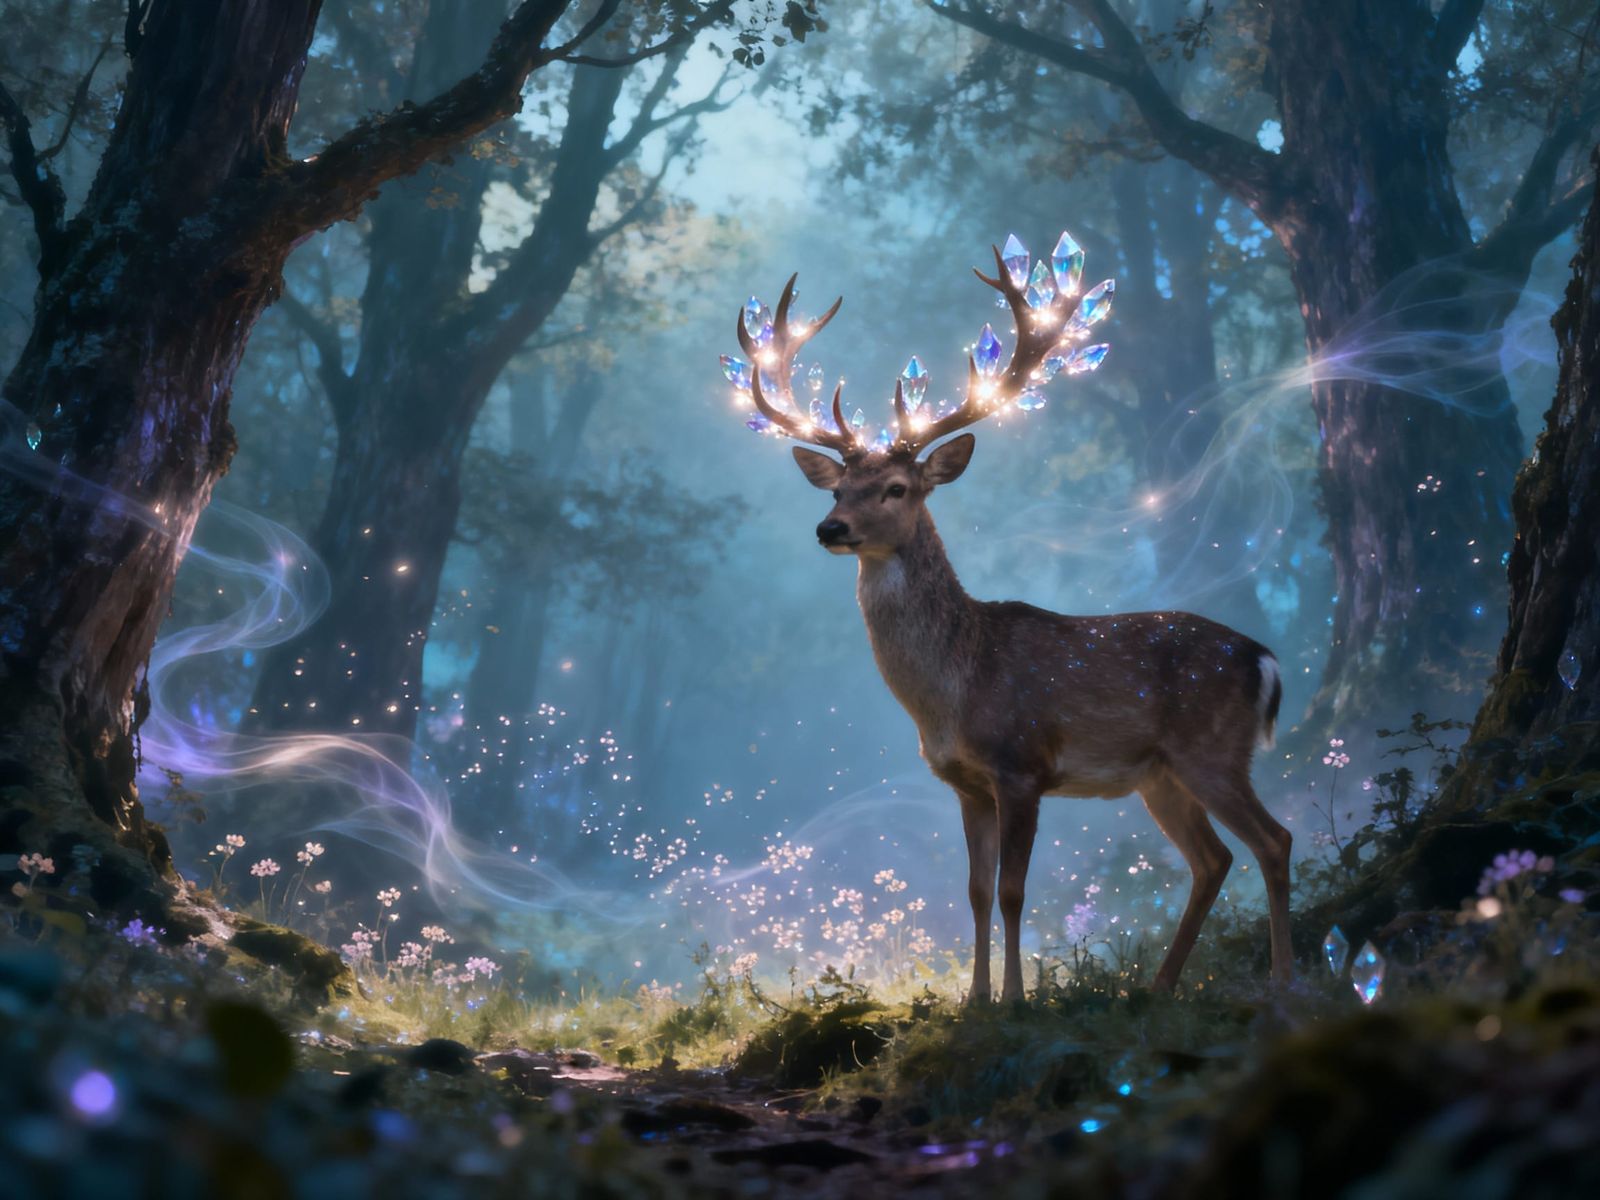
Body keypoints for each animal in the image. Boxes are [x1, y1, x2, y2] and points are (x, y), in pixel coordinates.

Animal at [729, 239, 1293, 1002]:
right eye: (839, 487)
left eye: (897, 488)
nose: (830, 527)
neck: (955, 689)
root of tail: (1265, 659)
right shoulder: (966, 781)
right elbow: (972, 891)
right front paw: (973, 1001)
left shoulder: (1022, 762)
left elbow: (1014, 891)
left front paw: (1018, 999)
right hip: (1160, 774)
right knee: (1212, 859)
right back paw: (1158, 985)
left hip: (1211, 748)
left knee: (1272, 841)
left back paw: (1287, 978)